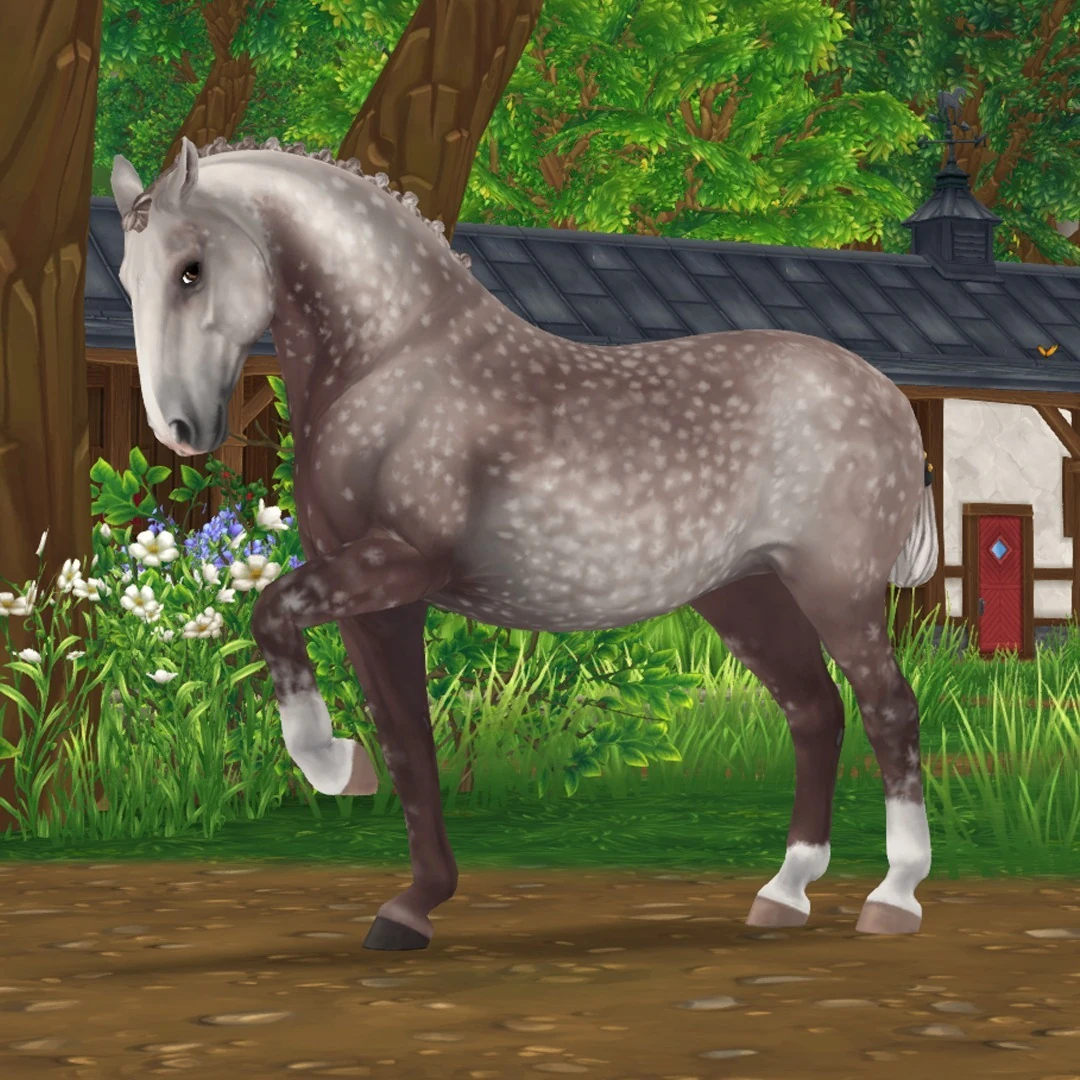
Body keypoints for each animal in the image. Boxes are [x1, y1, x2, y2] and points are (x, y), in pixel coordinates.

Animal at [110, 134, 939, 951]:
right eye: (127, 276)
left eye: (191, 269)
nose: (178, 429)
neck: (392, 360)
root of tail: (886, 395)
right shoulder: (374, 603)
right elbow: (407, 742)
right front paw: (410, 903)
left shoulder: (399, 565)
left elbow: (271, 615)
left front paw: (335, 768)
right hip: (745, 593)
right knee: (815, 712)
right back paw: (785, 892)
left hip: (836, 587)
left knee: (888, 709)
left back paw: (895, 896)